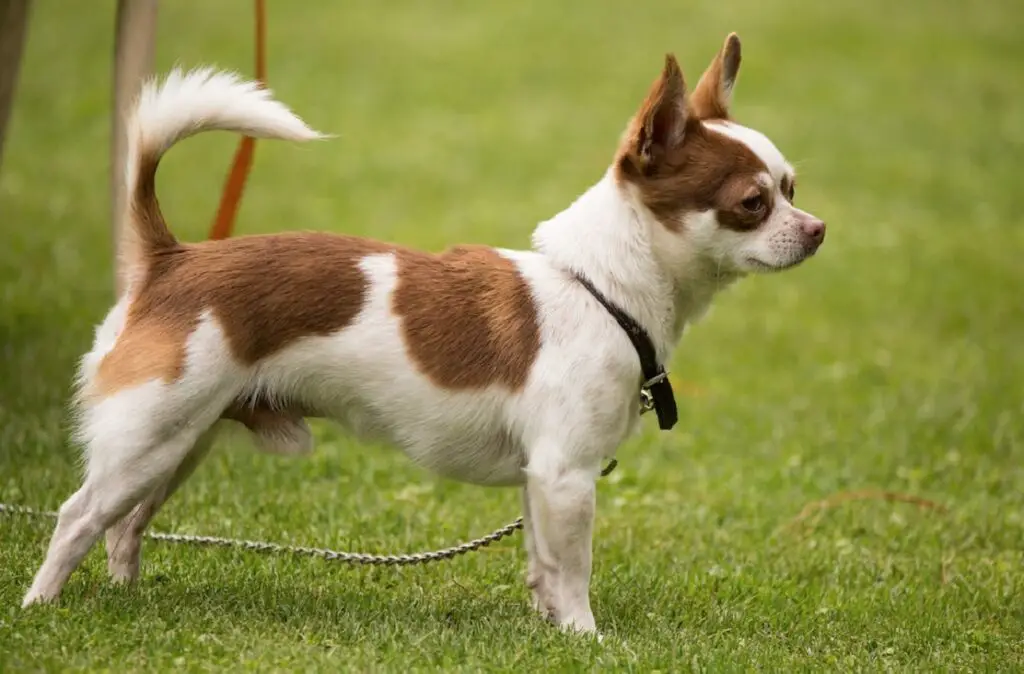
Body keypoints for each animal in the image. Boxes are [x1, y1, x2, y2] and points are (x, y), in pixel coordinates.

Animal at [24, 32, 823, 630]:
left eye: (792, 188)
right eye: (753, 203)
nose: (816, 230)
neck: (602, 290)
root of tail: (171, 258)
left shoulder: (542, 479)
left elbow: (543, 564)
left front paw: (549, 632)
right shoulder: (567, 474)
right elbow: (574, 570)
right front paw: (587, 638)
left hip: (178, 442)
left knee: (125, 524)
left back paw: (128, 598)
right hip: (150, 433)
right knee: (78, 516)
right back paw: (41, 607)